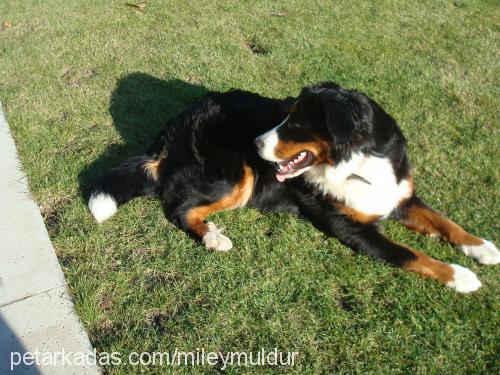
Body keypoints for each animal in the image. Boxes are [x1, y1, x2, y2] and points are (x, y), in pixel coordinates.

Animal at [88, 82, 498, 294]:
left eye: (296, 124)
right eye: (286, 116)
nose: (256, 142)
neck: (357, 164)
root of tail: (171, 131)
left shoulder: (399, 194)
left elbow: (445, 222)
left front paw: (481, 247)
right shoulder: (351, 228)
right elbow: (411, 254)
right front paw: (460, 276)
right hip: (236, 178)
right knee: (178, 208)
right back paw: (213, 237)